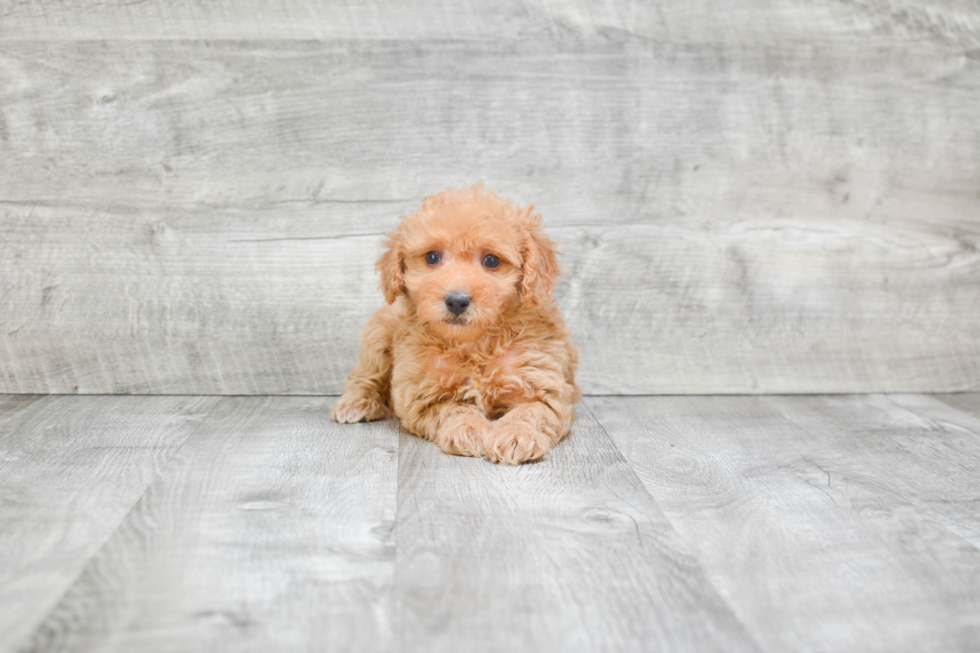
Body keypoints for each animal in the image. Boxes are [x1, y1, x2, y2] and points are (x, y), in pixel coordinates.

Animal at [334, 183, 580, 464]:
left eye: (491, 260)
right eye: (432, 257)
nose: (457, 301)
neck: (474, 343)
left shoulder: (543, 383)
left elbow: (531, 411)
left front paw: (517, 435)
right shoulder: (422, 395)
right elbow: (453, 409)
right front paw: (469, 429)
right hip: (378, 334)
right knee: (366, 374)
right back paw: (356, 403)